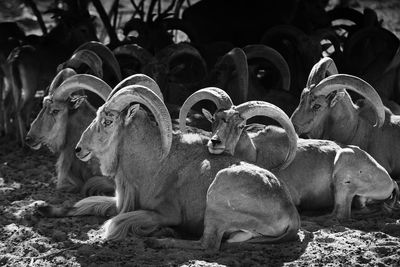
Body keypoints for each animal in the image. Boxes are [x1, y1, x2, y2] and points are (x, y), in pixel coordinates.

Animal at [39, 85, 300, 252]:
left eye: (108, 121)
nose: (79, 149)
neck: (154, 162)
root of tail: (291, 213)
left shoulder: (165, 213)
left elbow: (114, 222)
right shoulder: (121, 200)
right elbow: (82, 204)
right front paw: (41, 208)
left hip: (218, 196)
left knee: (209, 245)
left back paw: (160, 240)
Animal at [179, 87, 400, 221]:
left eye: (240, 126)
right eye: (214, 120)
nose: (215, 142)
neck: (256, 155)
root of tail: (389, 181)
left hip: (344, 169)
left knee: (340, 214)